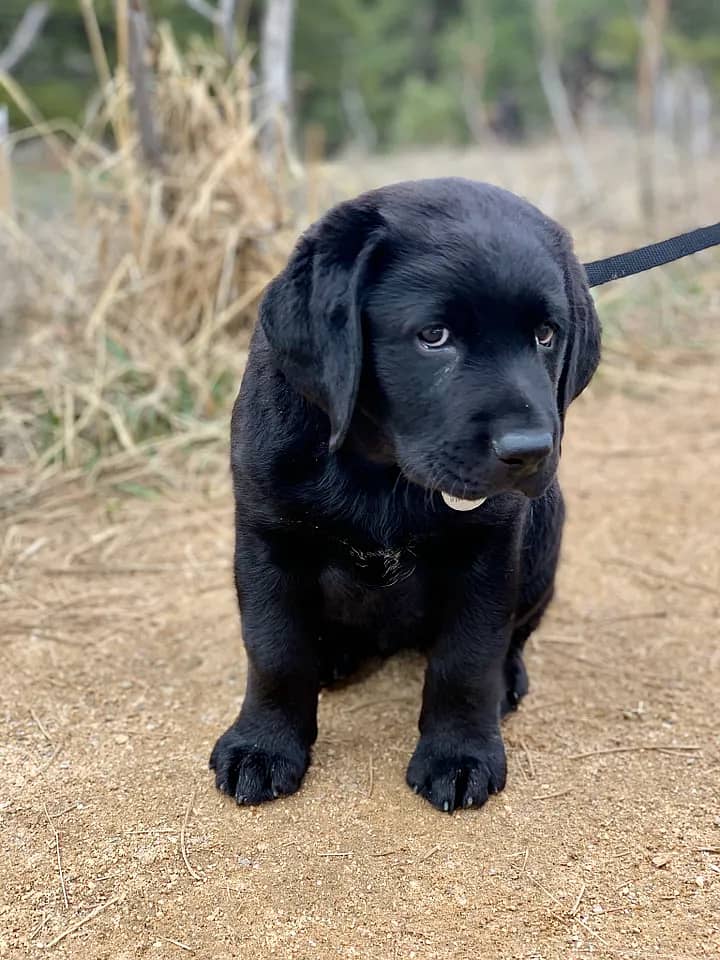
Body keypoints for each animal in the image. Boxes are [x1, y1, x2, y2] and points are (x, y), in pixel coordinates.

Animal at [210, 178, 600, 808]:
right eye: (433, 337)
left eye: (545, 335)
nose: (531, 451)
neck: (380, 468)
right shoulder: (268, 538)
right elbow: (274, 651)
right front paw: (262, 746)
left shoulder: (488, 548)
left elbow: (467, 660)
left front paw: (459, 754)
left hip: (545, 537)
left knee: (513, 636)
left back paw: (507, 682)